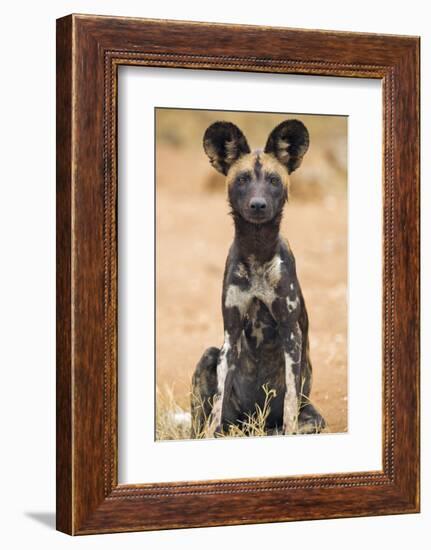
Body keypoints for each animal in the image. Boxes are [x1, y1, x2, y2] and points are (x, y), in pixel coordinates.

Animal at [191, 118, 326, 438]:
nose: (258, 204)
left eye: (274, 180)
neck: (257, 252)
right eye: (242, 179)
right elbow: (218, 402)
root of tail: (254, 425)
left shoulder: (291, 333)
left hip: (313, 418)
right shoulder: (230, 335)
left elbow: (289, 401)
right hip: (210, 356)